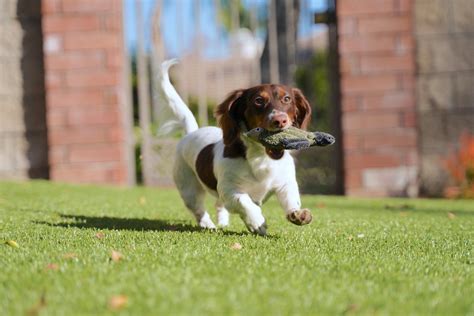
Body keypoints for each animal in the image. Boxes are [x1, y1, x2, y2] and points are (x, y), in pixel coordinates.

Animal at [159, 59, 314, 237]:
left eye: (287, 98)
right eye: (258, 100)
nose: (280, 120)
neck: (262, 157)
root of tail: (191, 132)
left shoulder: (285, 183)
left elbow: (291, 199)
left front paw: (298, 214)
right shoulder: (229, 190)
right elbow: (245, 202)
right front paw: (257, 222)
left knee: (218, 206)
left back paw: (223, 223)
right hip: (188, 188)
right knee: (198, 210)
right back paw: (209, 225)